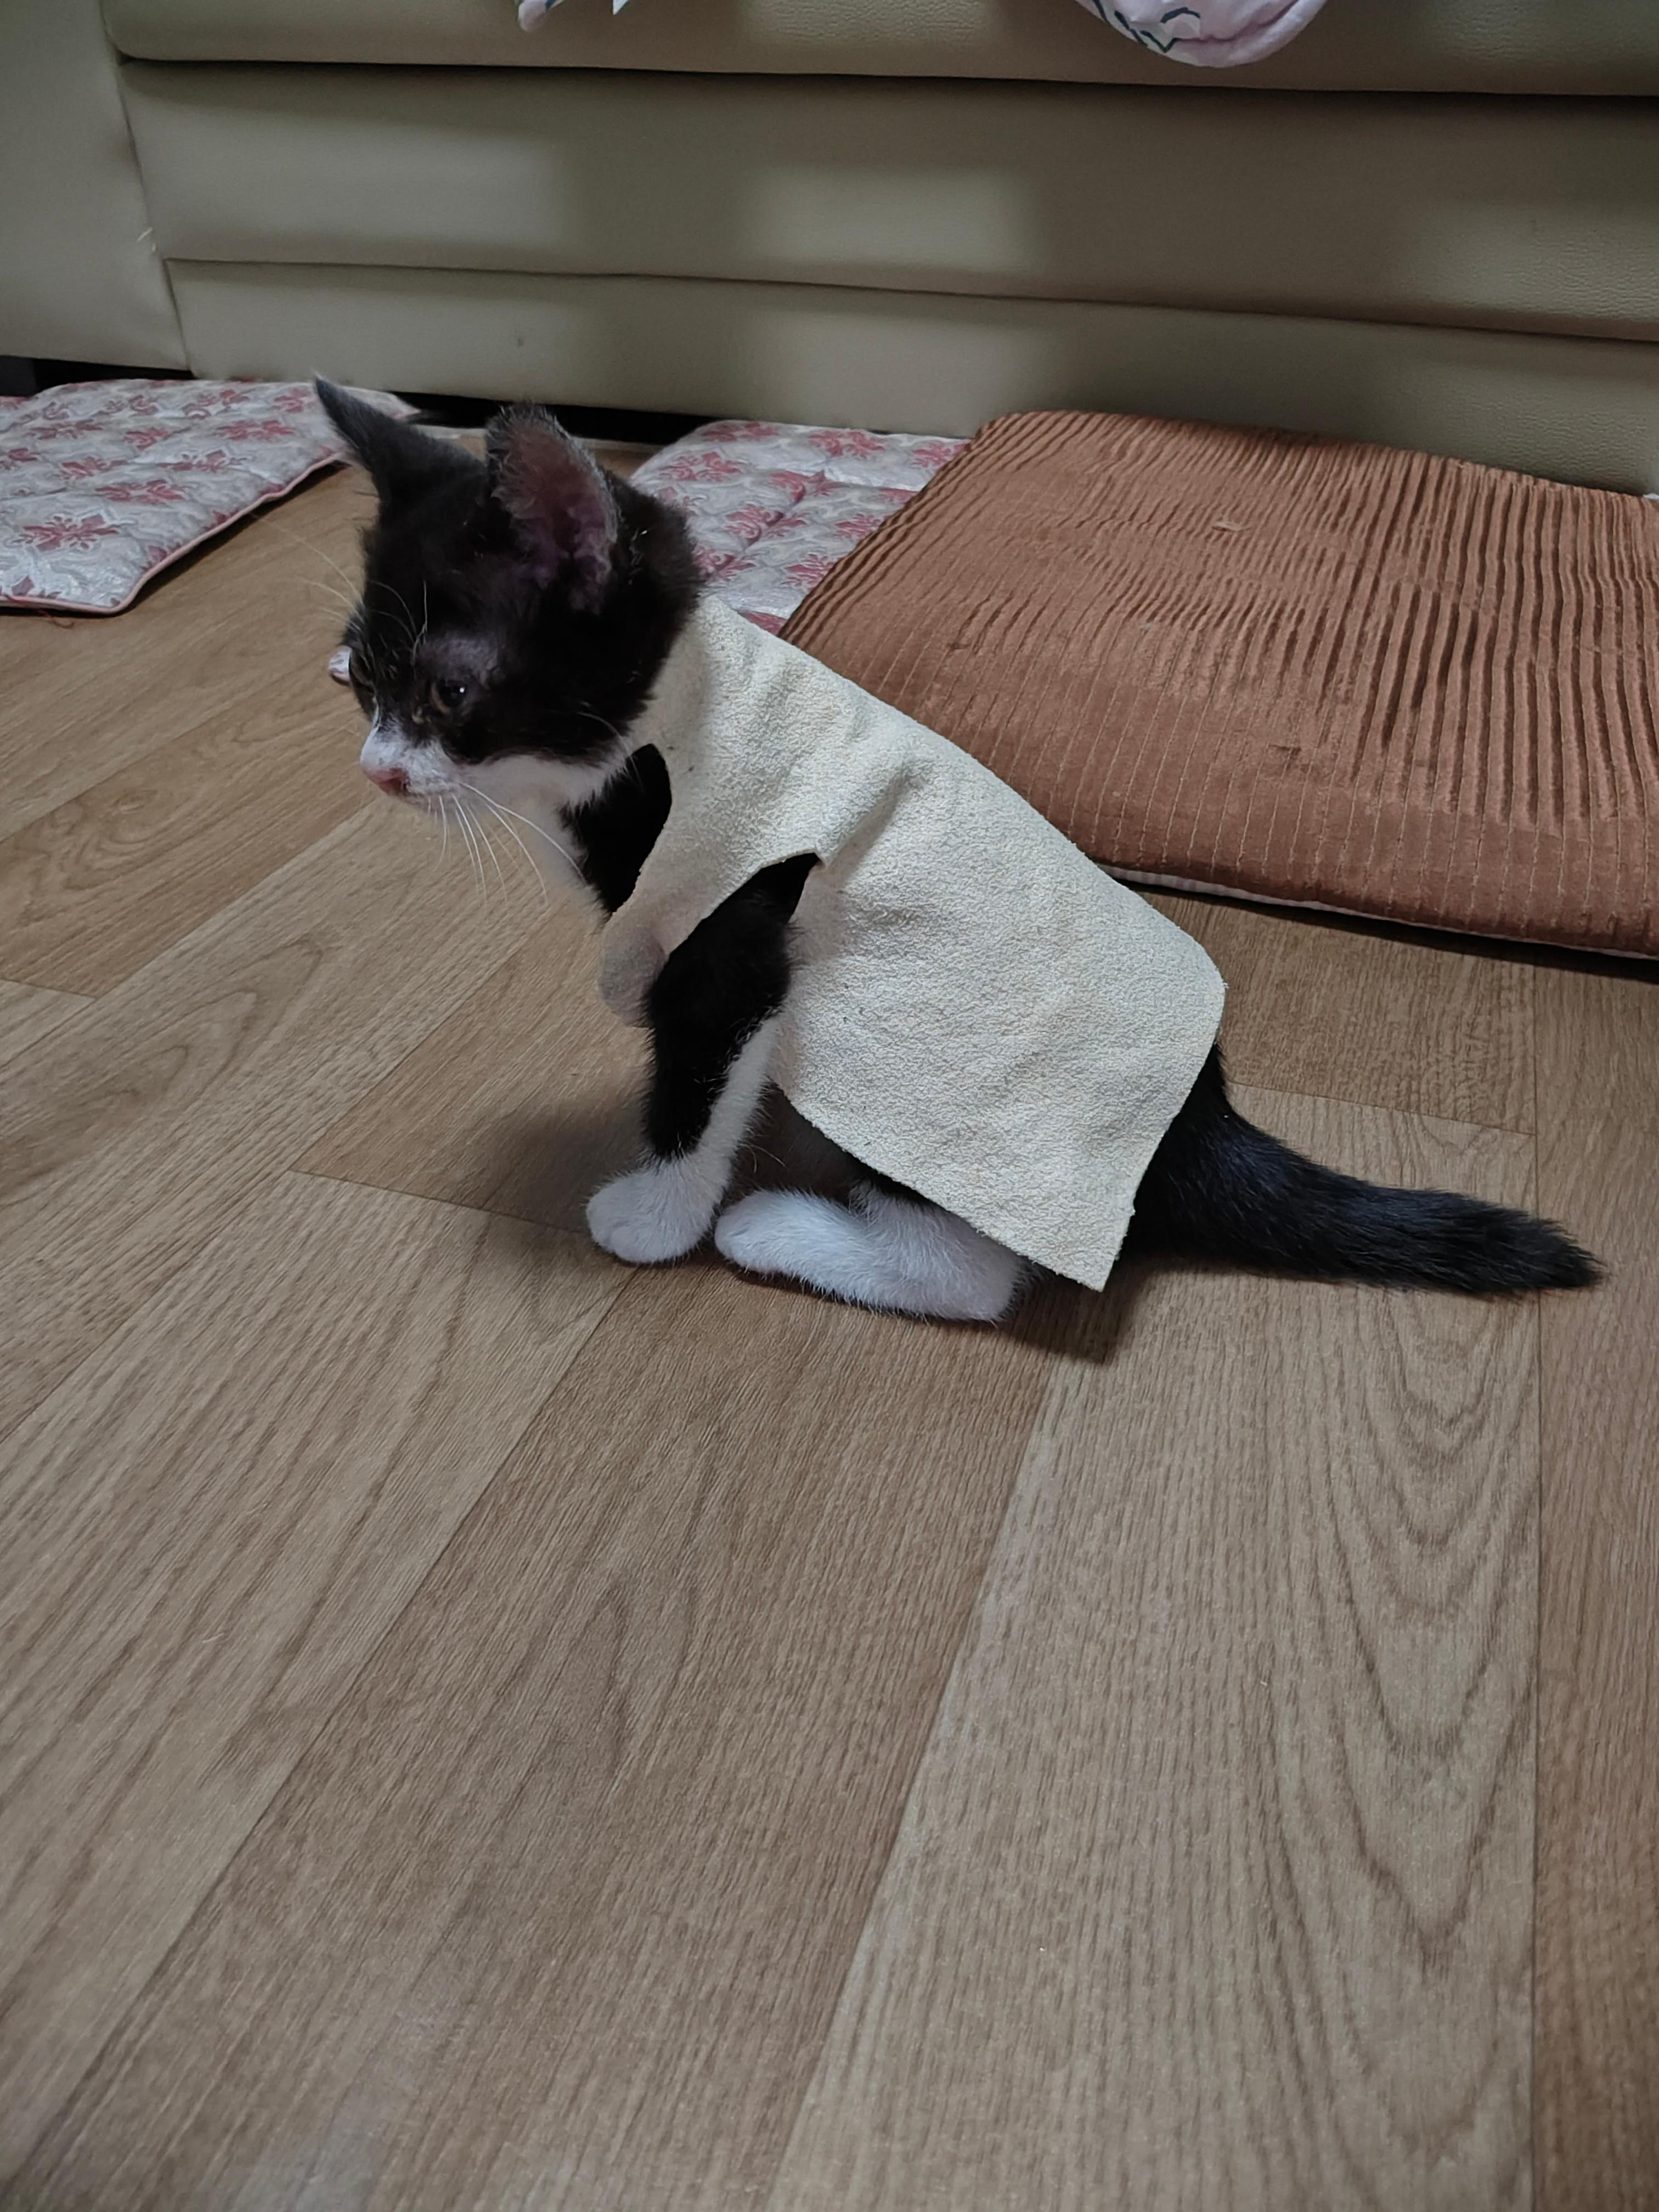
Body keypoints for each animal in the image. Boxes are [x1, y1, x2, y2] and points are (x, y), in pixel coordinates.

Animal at [314, 380, 1597, 1320]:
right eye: (361, 679)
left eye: (449, 691)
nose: (376, 771)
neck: (667, 732)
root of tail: (1194, 1123)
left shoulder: (744, 915)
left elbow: (700, 1069)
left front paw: (657, 1216)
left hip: (912, 1043)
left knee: (976, 1275)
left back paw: (782, 1230)